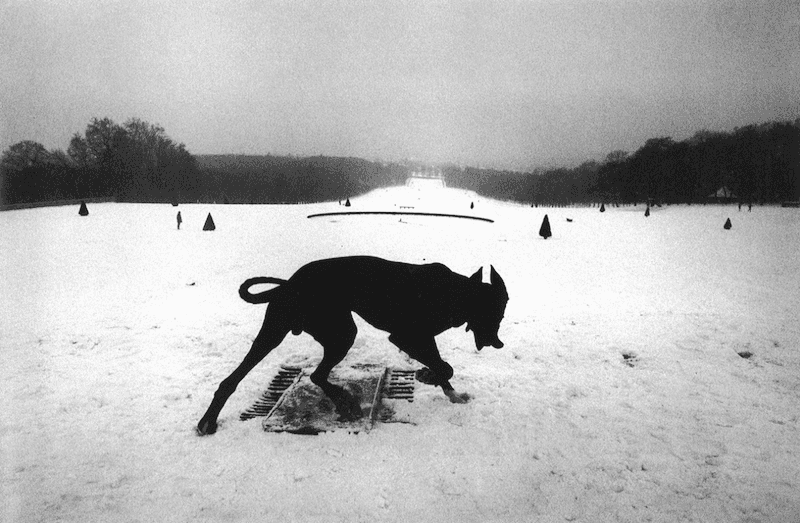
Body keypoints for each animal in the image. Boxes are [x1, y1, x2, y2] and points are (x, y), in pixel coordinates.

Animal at [198, 256, 510, 436]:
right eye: (497, 314)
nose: (498, 343)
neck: (456, 292)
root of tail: (288, 284)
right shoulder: (406, 337)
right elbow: (444, 366)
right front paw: (429, 376)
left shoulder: (421, 339)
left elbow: (442, 365)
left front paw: (450, 392)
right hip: (319, 332)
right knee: (305, 375)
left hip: (314, 332)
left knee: (314, 375)